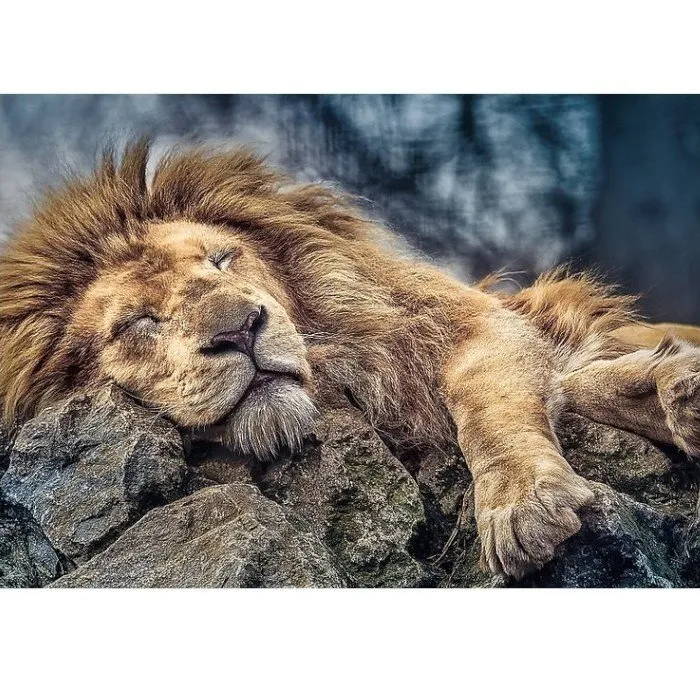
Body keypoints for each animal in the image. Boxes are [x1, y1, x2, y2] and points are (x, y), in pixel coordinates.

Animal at [1, 140, 700, 580]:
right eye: (138, 323)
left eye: (222, 259)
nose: (242, 329)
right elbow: (578, 382)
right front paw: (663, 388)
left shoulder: (472, 323)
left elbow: (489, 405)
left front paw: (523, 503)